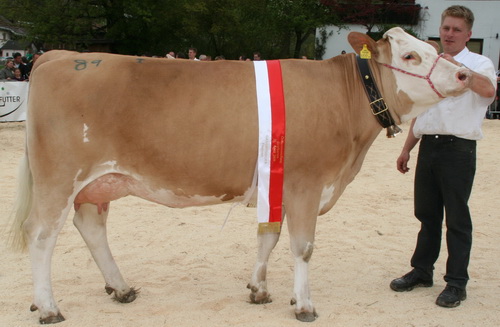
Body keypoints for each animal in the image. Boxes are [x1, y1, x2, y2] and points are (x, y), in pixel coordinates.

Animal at [10, 28, 472, 326]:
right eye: (410, 56)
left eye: (431, 46)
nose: (465, 74)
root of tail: (57, 54)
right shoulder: (307, 184)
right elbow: (303, 247)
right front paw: (304, 305)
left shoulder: (280, 185)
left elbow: (269, 237)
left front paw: (261, 290)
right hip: (59, 178)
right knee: (41, 235)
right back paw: (48, 307)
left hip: (96, 183)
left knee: (90, 226)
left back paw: (120, 288)